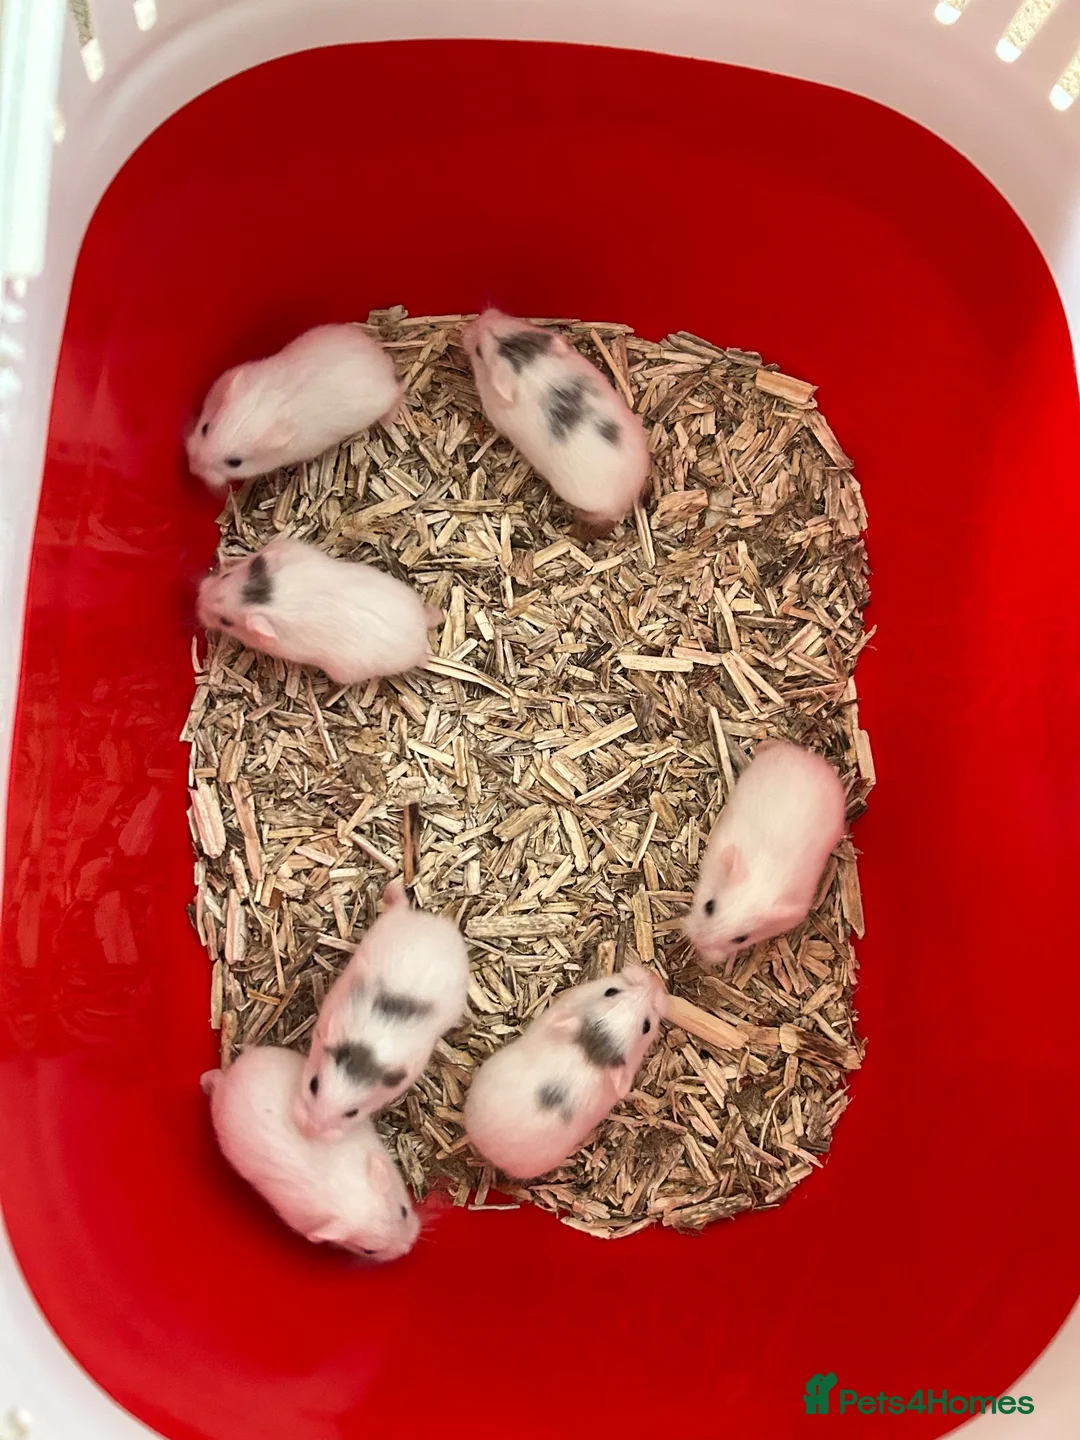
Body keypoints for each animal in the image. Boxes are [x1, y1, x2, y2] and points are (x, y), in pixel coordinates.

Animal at [186, 323, 404, 490]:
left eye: (235, 463)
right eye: (204, 428)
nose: (192, 469)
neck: (266, 404)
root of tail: (383, 361)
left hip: (382, 399)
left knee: (397, 393)